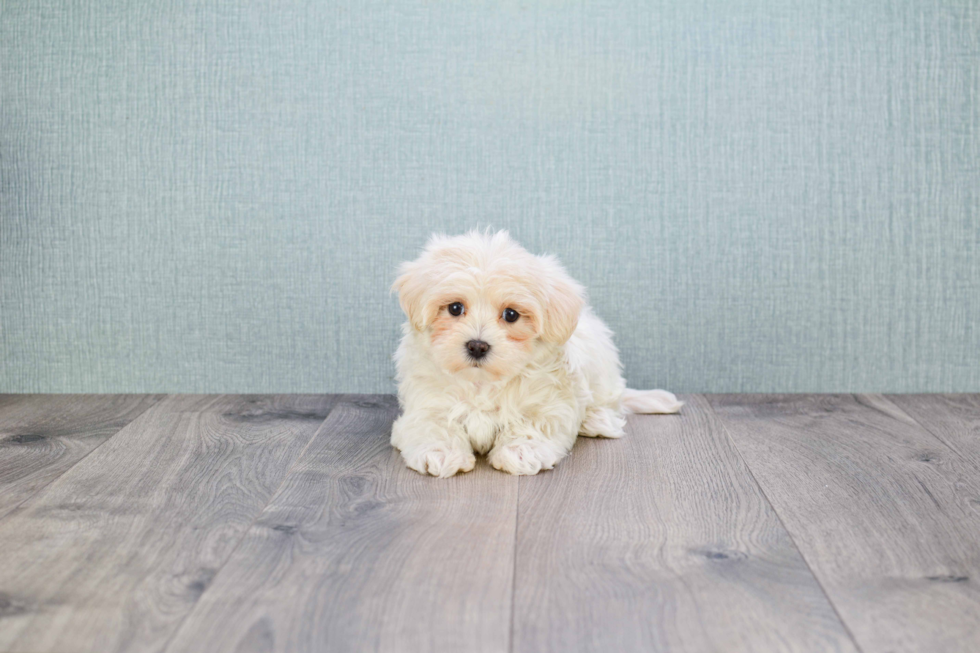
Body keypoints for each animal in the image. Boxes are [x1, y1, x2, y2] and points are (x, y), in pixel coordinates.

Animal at [390, 232, 680, 476]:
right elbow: (432, 424)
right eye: (454, 308)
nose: (477, 346)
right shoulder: (427, 401)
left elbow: (533, 423)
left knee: (610, 399)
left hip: (600, 360)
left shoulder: (550, 401)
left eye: (511, 314)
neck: (483, 383)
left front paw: (520, 451)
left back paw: (596, 420)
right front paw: (440, 452)